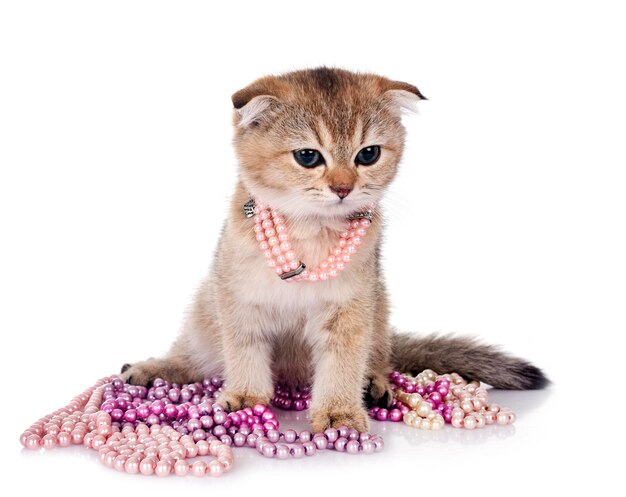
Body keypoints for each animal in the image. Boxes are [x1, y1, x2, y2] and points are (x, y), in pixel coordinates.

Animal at [119, 68, 544, 432]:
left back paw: (375, 385)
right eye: (307, 156)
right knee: (192, 357)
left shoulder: (350, 309)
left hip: (379, 315)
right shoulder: (239, 302)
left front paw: (340, 413)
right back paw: (153, 370)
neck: (309, 234)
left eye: (368, 154)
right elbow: (244, 354)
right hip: (204, 315)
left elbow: (342, 366)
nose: (343, 188)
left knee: (378, 360)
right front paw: (246, 398)